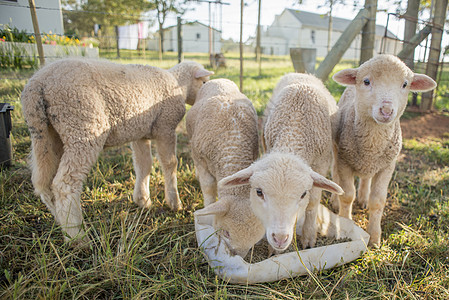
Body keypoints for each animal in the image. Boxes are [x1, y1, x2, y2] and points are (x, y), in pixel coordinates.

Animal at [21, 58, 214, 241]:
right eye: (204, 82)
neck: (178, 83)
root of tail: (38, 84)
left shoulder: (140, 134)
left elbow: (143, 166)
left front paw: (142, 200)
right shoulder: (165, 127)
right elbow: (170, 164)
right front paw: (174, 203)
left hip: (45, 134)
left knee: (43, 183)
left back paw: (63, 225)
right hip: (82, 126)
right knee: (64, 185)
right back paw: (78, 237)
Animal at [187, 78, 264, 256]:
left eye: (255, 241)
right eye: (227, 233)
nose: (237, 256)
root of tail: (219, 79)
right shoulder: (201, 159)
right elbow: (208, 187)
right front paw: (207, 208)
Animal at [219, 74, 342, 252]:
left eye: (303, 194)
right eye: (259, 192)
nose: (280, 239)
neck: (295, 128)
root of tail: (302, 74)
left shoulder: (321, 163)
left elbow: (312, 204)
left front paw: (308, 237)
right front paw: (274, 251)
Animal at [330, 54, 436, 246]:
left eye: (405, 84)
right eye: (366, 81)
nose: (386, 110)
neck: (372, 143)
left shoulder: (387, 166)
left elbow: (378, 201)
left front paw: (374, 238)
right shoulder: (344, 161)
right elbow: (347, 195)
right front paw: (346, 223)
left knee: (366, 179)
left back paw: (363, 198)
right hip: (336, 151)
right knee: (335, 175)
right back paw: (335, 201)